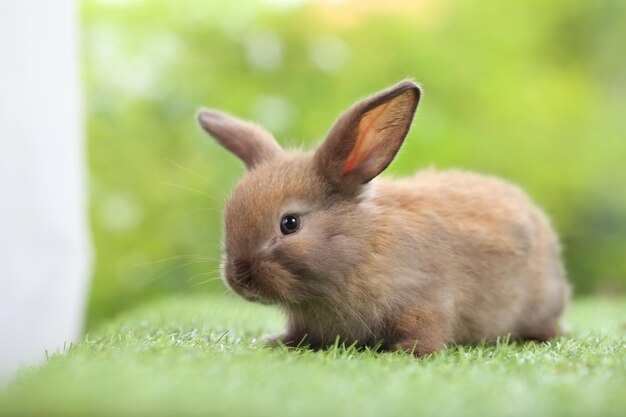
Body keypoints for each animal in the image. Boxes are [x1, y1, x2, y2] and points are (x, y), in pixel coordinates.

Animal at [197, 80, 568, 354]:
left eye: (290, 224)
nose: (240, 278)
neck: (360, 249)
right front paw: (275, 342)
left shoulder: (425, 300)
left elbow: (425, 330)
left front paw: (408, 352)